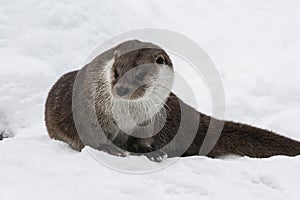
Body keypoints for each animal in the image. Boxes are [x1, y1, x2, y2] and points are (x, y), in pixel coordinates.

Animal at [45, 39, 300, 162]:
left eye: (139, 74)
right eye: (116, 71)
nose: (121, 89)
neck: (128, 117)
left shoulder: (149, 120)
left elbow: (144, 141)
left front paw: (152, 152)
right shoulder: (88, 108)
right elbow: (89, 135)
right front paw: (110, 149)